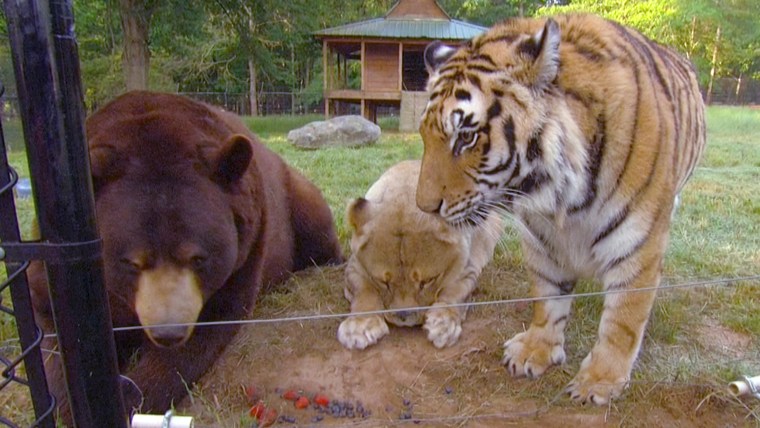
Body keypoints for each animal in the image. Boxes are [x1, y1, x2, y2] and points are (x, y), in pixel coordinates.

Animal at [336, 159, 502, 350]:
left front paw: (442, 323)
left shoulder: (467, 269)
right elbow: (364, 291)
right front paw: (360, 325)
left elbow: (454, 293)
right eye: (384, 282)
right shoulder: (354, 267)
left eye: (427, 281)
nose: (404, 316)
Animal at [416, 13, 708, 406]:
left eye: (466, 136)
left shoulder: (637, 240)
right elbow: (548, 295)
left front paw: (599, 381)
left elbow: (624, 318)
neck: (560, 195)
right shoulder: (541, 235)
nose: (424, 207)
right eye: (424, 136)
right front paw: (535, 350)